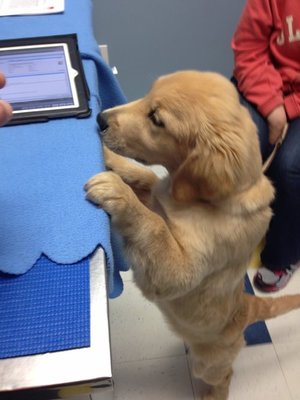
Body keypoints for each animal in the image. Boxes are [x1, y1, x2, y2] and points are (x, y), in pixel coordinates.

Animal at [85, 72, 300, 400]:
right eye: (147, 95)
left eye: (156, 119)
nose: (100, 118)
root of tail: (246, 305)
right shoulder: (157, 195)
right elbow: (145, 178)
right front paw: (110, 160)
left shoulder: (180, 271)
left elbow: (155, 226)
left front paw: (117, 192)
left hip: (210, 362)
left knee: (223, 376)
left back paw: (210, 395)